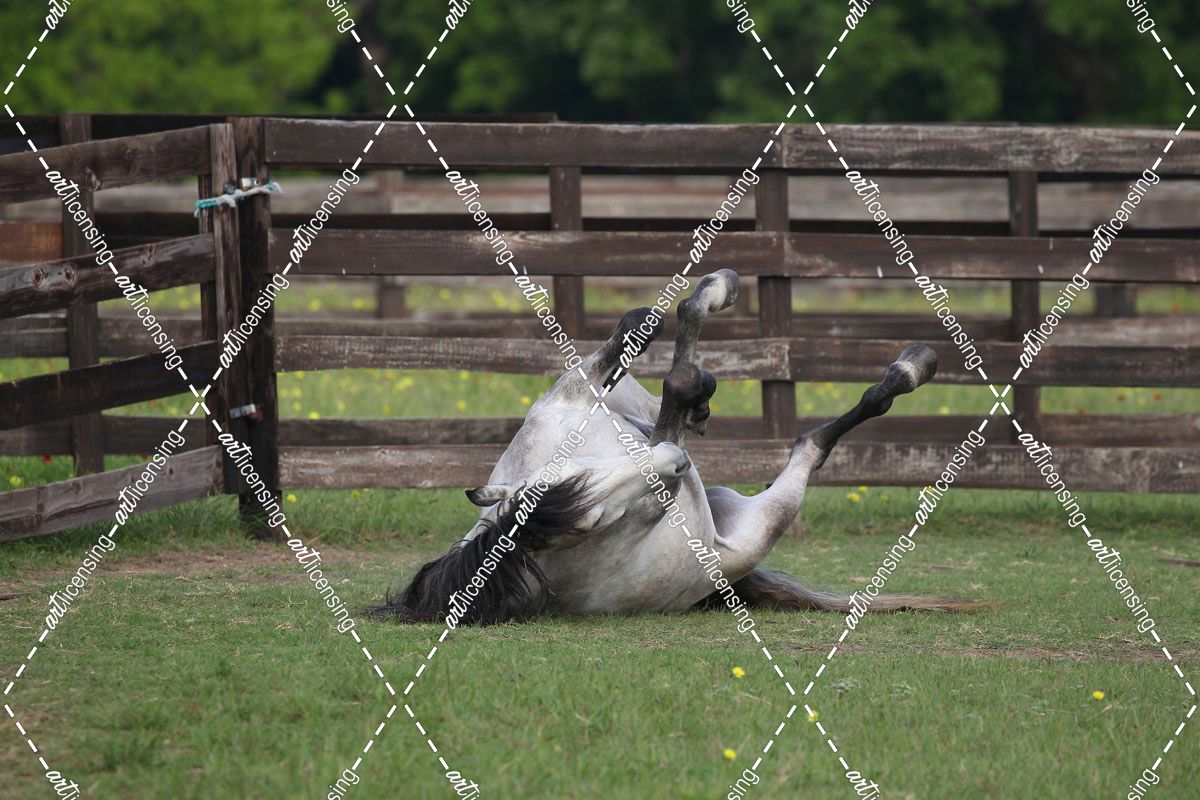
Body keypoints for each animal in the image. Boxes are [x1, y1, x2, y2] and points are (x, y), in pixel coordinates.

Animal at [370, 268, 974, 624]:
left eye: (568, 485)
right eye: (591, 520)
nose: (674, 468)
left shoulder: (568, 401)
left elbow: (634, 333)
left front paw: (709, 302)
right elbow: (669, 372)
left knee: (663, 382)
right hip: (755, 525)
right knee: (809, 445)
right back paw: (909, 368)